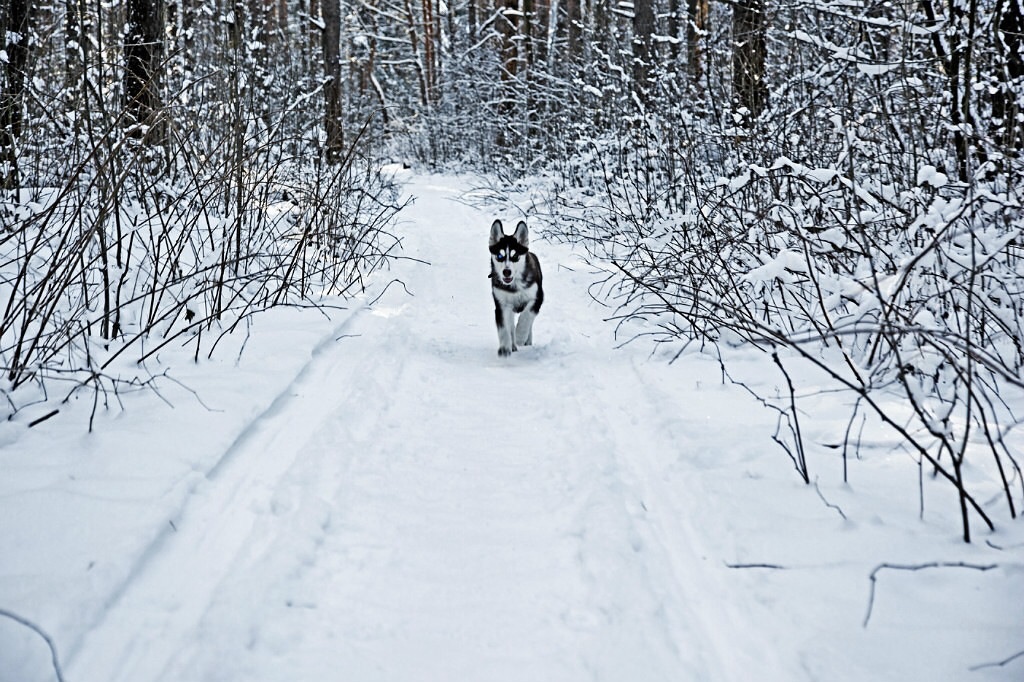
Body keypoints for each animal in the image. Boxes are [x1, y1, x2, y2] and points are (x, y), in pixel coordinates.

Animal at [487, 219, 544, 356]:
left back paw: (526, 339)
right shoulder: (501, 305)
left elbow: (526, 316)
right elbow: (504, 327)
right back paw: (512, 344)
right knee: (511, 324)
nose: (506, 272)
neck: (514, 286)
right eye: (499, 256)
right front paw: (505, 347)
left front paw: (520, 336)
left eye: (515, 256)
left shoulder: (537, 298)